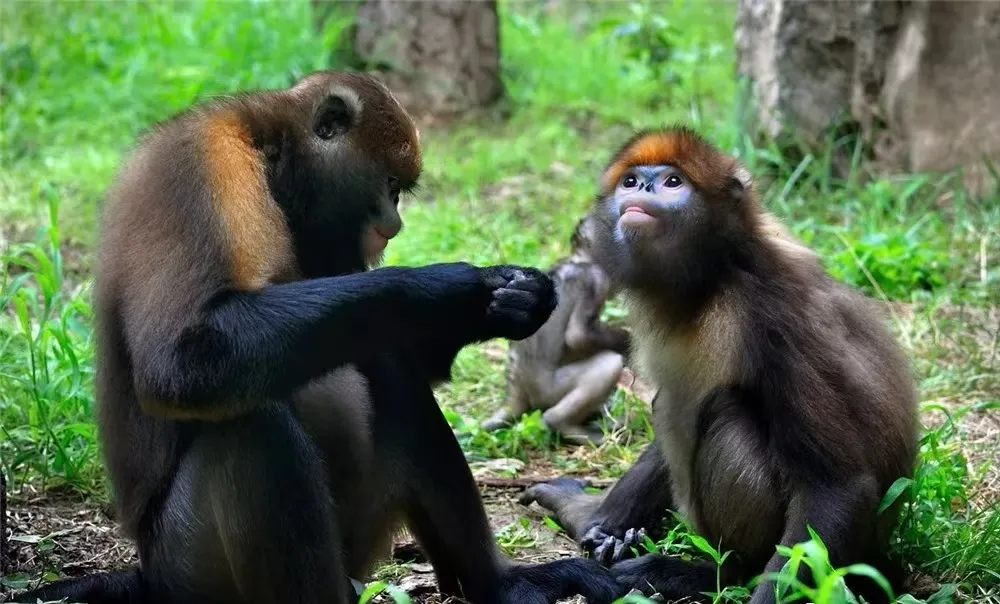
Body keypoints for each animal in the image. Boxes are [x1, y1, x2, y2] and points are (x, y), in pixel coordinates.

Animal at [482, 214, 631, 445]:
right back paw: (566, 425)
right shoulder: (595, 278)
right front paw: (627, 339)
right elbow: (578, 336)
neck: (578, 259)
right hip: (549, 391)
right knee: (608, 363)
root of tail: (515, 386)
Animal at [519, 126, 919, 604]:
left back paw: (710, 573)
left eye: (673, 182)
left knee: (726, 412)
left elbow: (838, 485)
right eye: (630, 181)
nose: (643, 189)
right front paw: (597, 520)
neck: (720, 274)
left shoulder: (776, 317)